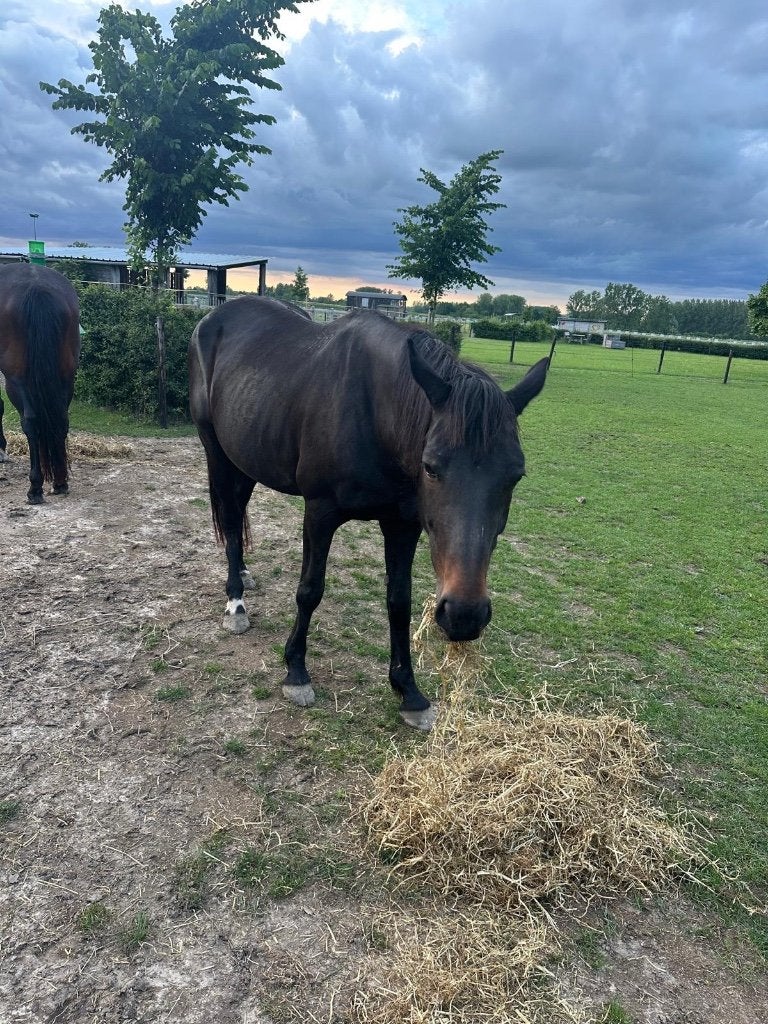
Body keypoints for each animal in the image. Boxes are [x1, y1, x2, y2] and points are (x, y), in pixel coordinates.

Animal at [0, 264, 80, 503]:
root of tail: (37, 287)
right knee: (60, 419)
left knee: (31, 422)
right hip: (66, 376)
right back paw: (60, 482)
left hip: (16, 380)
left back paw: (35, 487)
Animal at [189, 296, 547, 730]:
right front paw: (296, 671)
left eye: (516, 475)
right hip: (217, 453)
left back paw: (242, 573)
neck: (374, 415)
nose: (465, 614)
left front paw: (409, 692)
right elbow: (310, 590)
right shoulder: (320, 514)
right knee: (228, 517)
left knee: (238, 514)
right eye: (431, 466)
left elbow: (399, 601)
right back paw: (236, 603)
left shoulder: (403, 525)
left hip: (247, 457)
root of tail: (214, 317)